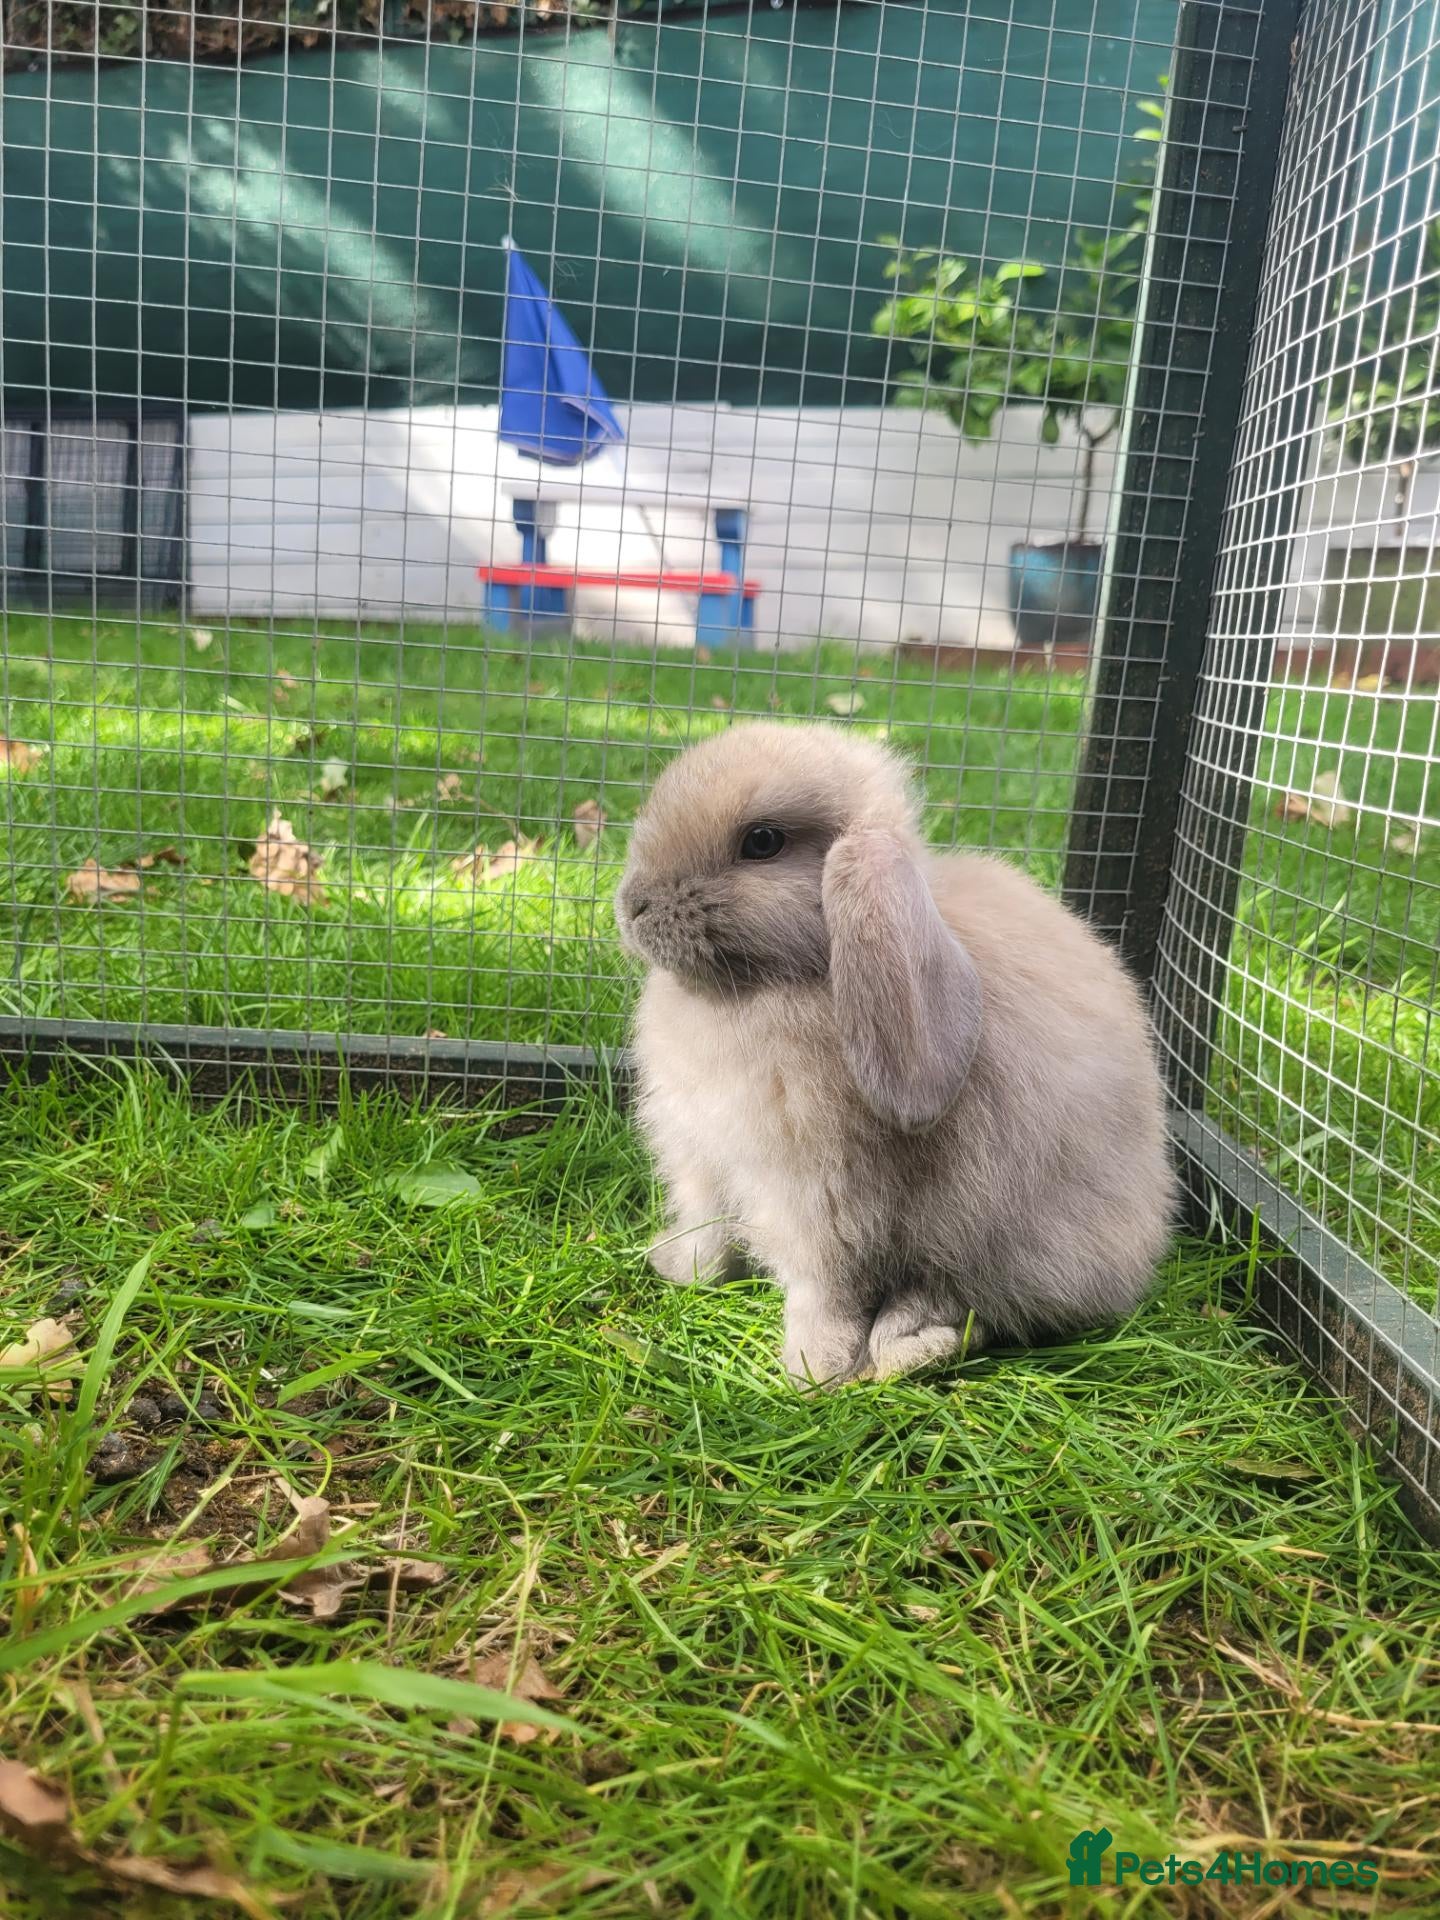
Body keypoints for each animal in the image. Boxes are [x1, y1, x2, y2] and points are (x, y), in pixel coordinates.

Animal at [614, 721, 1176, 1385]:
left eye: (762, 841)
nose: (632, 905)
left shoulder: (822, 1199)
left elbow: (823, 1287)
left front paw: (813, 1370)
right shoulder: (700, 1163)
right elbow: (710, 1241)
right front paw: (672, 1265)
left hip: (1007, 1244)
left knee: (974, 1305)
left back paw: (906, 1349)